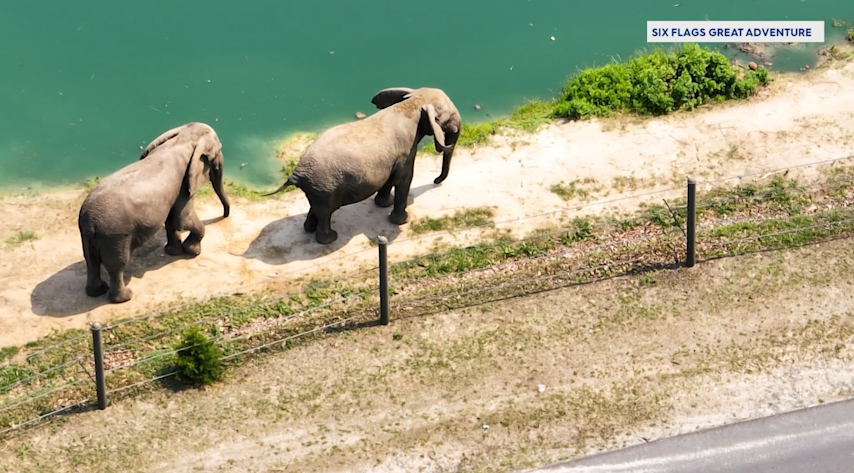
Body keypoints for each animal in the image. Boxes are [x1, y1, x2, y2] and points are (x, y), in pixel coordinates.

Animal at [77, 122, 231, 303]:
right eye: (219, 149)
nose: (225, 215)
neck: (184, 138)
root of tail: (90, 221)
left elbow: (172, 219)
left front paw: (174, 252)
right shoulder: (185, 185)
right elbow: (181, 218)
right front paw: (192, 252)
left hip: (88, 236)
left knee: (91, 260)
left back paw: (97, 291)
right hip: (115, 236)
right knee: (116, 266)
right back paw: (125, 297)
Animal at [263, 86, 461, 244]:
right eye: (449, 117)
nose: (436, 181)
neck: (412, 103)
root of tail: (297, 173)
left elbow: (389, 178)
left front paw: (383, 204)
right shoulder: (406, 151)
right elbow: (403, 179)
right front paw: (401, 222)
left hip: (319, 189)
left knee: (316, 208)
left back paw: (310, 230)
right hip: (325, 188)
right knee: (325, 212)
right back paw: (330, 239)